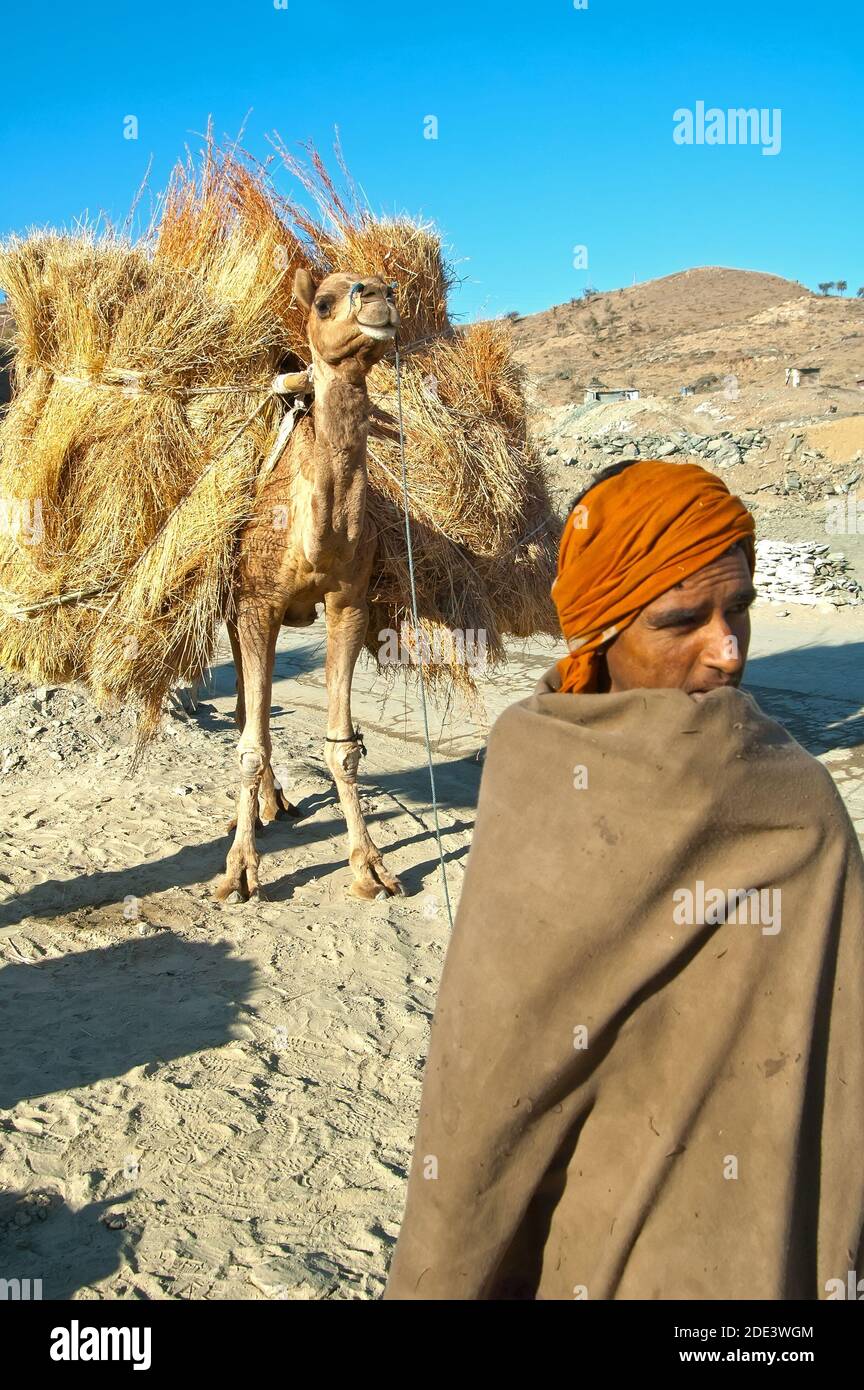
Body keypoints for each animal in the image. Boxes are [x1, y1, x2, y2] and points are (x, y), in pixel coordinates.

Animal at [216, 266, 405, 906]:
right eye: (323, 302)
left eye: (392, 288)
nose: (380, 298)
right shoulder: (257, 604)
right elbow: (251, 746)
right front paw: (238, 872)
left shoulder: (349, 602)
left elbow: (343, 749)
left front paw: (370, 869)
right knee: (247, 711)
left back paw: (275, 804)